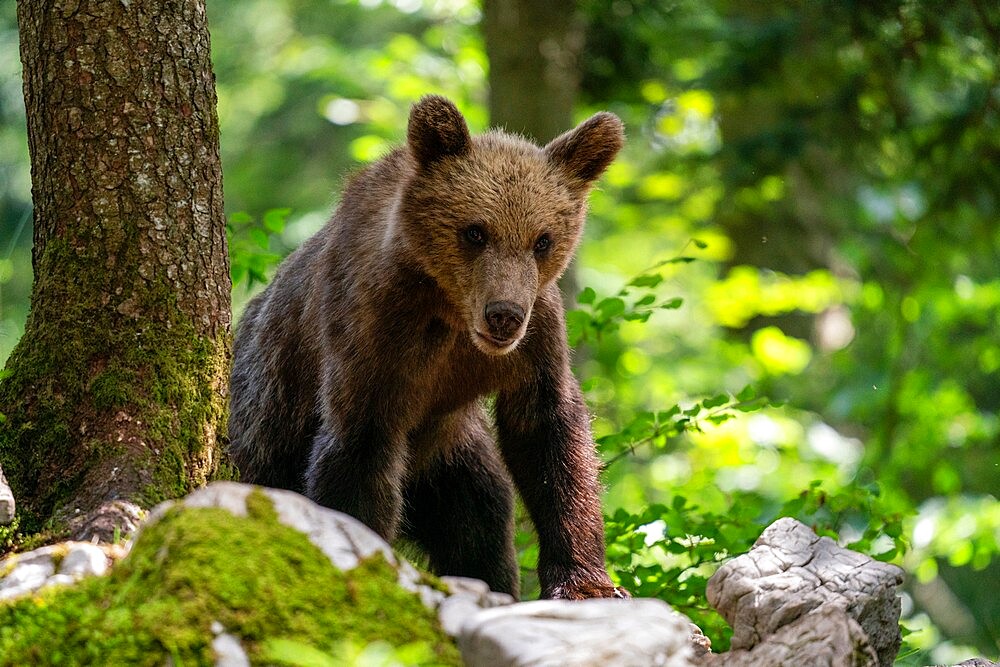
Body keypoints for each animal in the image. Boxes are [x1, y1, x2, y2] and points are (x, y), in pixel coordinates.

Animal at [230, 94, 628, 600]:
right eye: (475, 231)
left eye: (542, 240)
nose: (504, 314)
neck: (450, 312)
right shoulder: (373, 339)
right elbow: (359, 451)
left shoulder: (534, 342)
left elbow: (549, 440)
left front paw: (586, 581)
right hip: (265, 424)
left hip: (450, 462)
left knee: (479, 524)